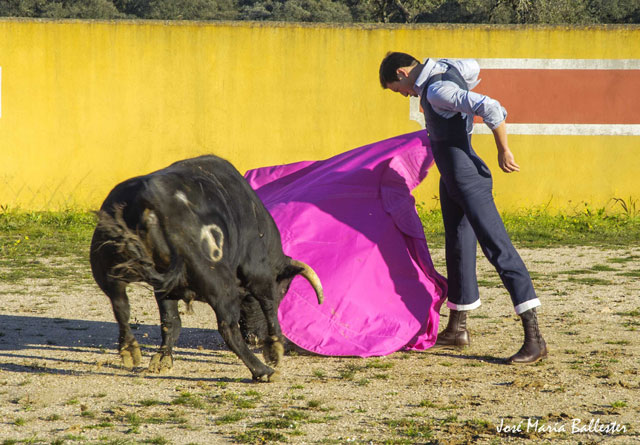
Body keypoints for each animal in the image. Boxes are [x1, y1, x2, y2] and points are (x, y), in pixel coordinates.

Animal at [90, 154, 324, 380]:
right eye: (284, 290)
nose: (253, 337)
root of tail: (147, 199)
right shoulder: (259, 272)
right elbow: (268, 304)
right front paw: (274, 350)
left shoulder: (166, 289)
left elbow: (170, 321)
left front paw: (162, 359)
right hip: (219, 283)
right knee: (227, 327)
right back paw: (263, 371)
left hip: (109, 273)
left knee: (121, 307)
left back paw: (130, 351)